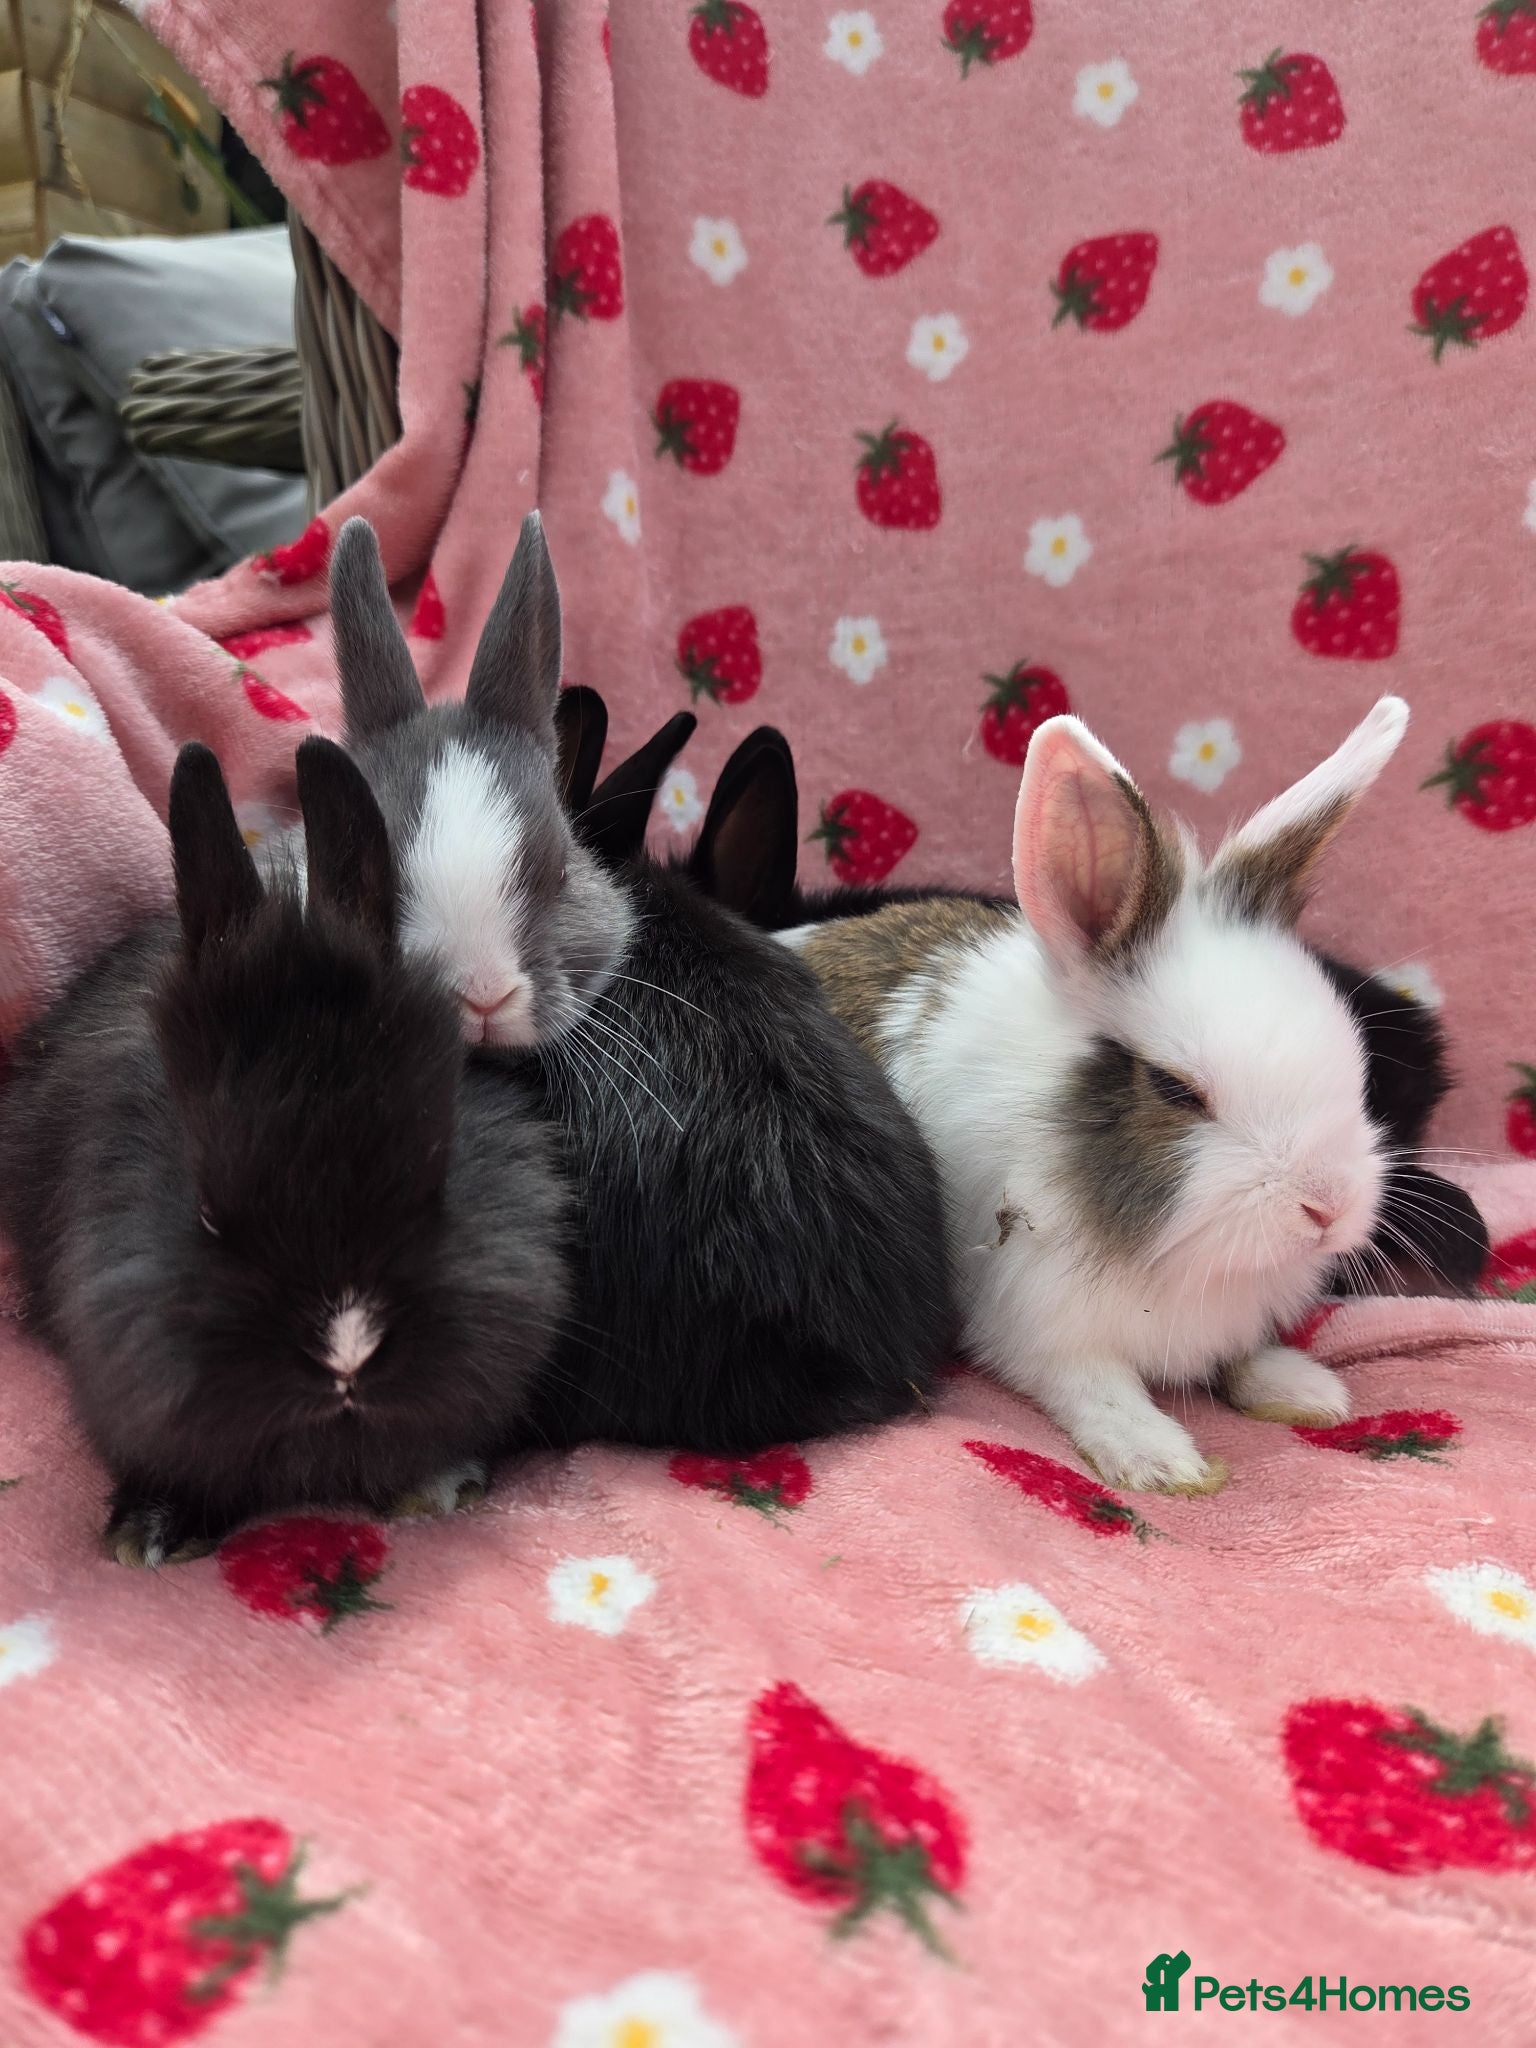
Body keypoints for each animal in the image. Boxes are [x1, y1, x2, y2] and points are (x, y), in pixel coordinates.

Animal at [773, 696, 1422, 1495]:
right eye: (1175, 1089)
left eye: (1351, 1057)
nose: (1326, 1208)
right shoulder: (1039, 1322)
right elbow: (1097, 1387)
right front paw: (1161, 1462)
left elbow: (1243, 1353)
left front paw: (1304, 1390)